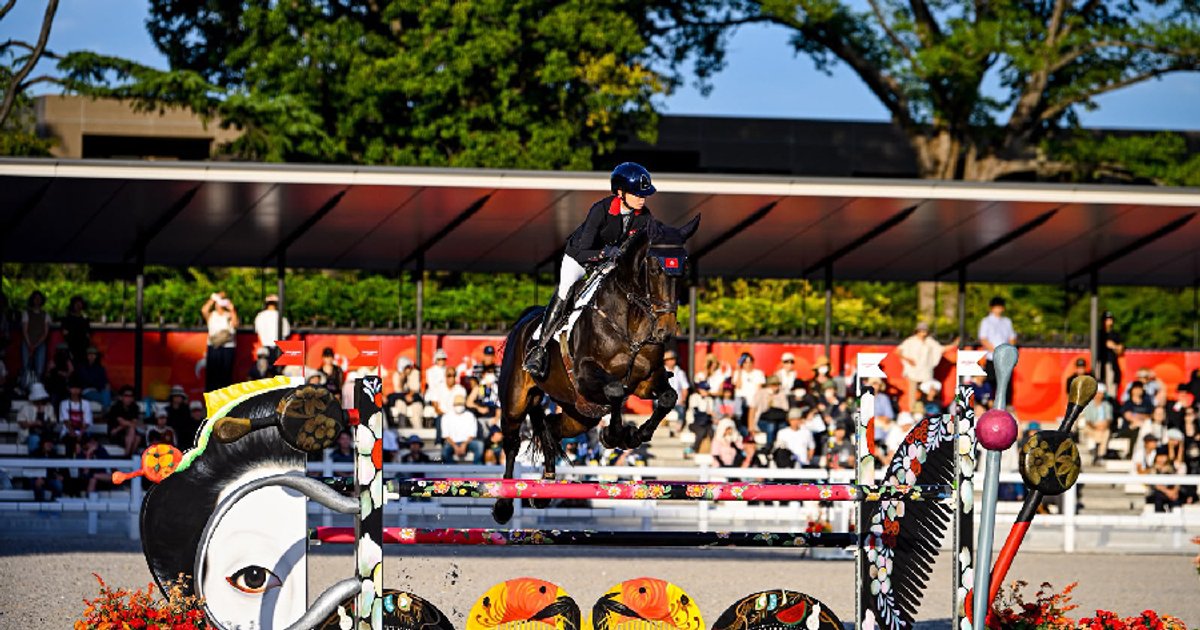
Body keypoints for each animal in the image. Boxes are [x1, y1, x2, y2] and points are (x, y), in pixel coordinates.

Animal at [492, 216, 701, 523]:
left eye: (683, 269)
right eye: (654, 268)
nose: (664, 331)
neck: (630, 321)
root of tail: (524, 321)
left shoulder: (647, 381)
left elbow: (667, 398)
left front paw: (635, 435)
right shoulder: (586, 374)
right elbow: (615, 390)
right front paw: (616, 435)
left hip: (581, 412)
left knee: (551, 427)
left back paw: (543, 489)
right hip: (516, 399)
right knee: (511, 442)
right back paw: (504, 504)